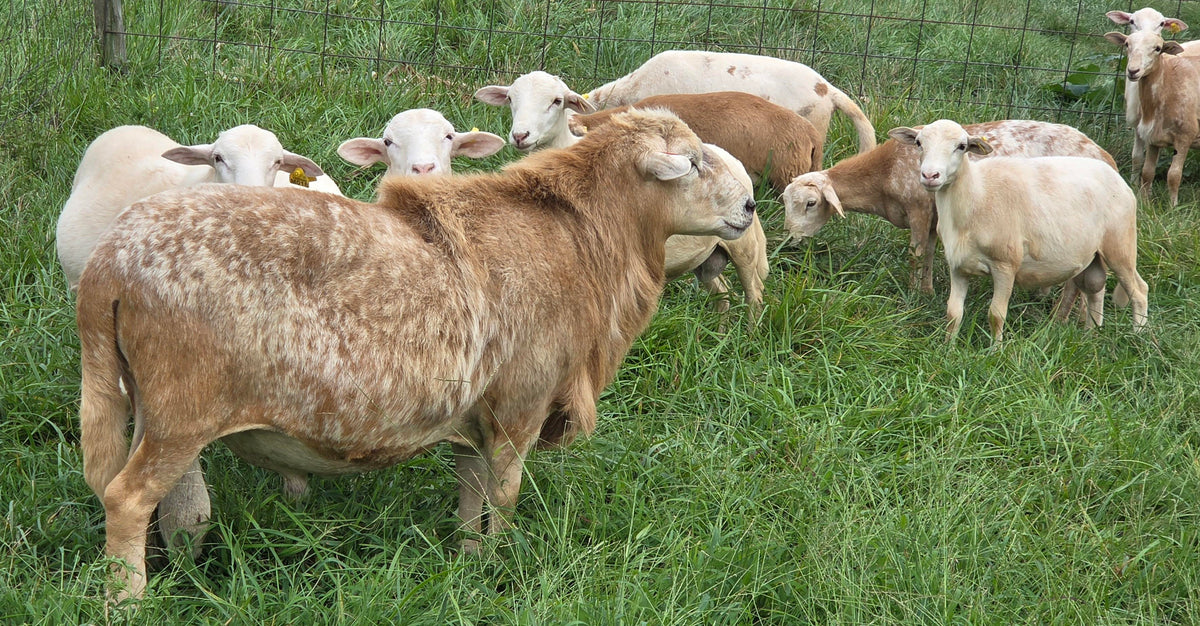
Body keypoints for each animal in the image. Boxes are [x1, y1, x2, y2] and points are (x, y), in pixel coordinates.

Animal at [783, 120, 1118, 294]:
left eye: (811, 203)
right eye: (784, 202)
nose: (790, 241)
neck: (884, 174)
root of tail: (1106, 157)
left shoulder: (919, 209)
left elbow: (916, 254)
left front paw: (913, 295)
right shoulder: (933, 218)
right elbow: (930, 254)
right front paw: (928, 291)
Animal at [887, 120, 1147, 344]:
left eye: (961, 147)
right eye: (919, 143)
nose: (930, 176)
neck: (976, 195)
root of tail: (1116, 175)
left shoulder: (1006, 265)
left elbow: (996, 314)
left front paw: (995, 351)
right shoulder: (958, 266)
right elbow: (953, 313)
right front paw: (948, 347)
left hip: (1120, 244)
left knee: (1138, 290)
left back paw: (1138, 337)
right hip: (1093, 254)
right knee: (1095, 288)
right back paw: (1091, 335)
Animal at [1104, 30, 1200, 206]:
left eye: (1158, 48)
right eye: (1127, 44)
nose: (1133, 71)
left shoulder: (1185, 136)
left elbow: (1174, 175)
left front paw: (1173, 206)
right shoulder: (1152, 137)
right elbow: (1147, 172)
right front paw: (1144, 202)